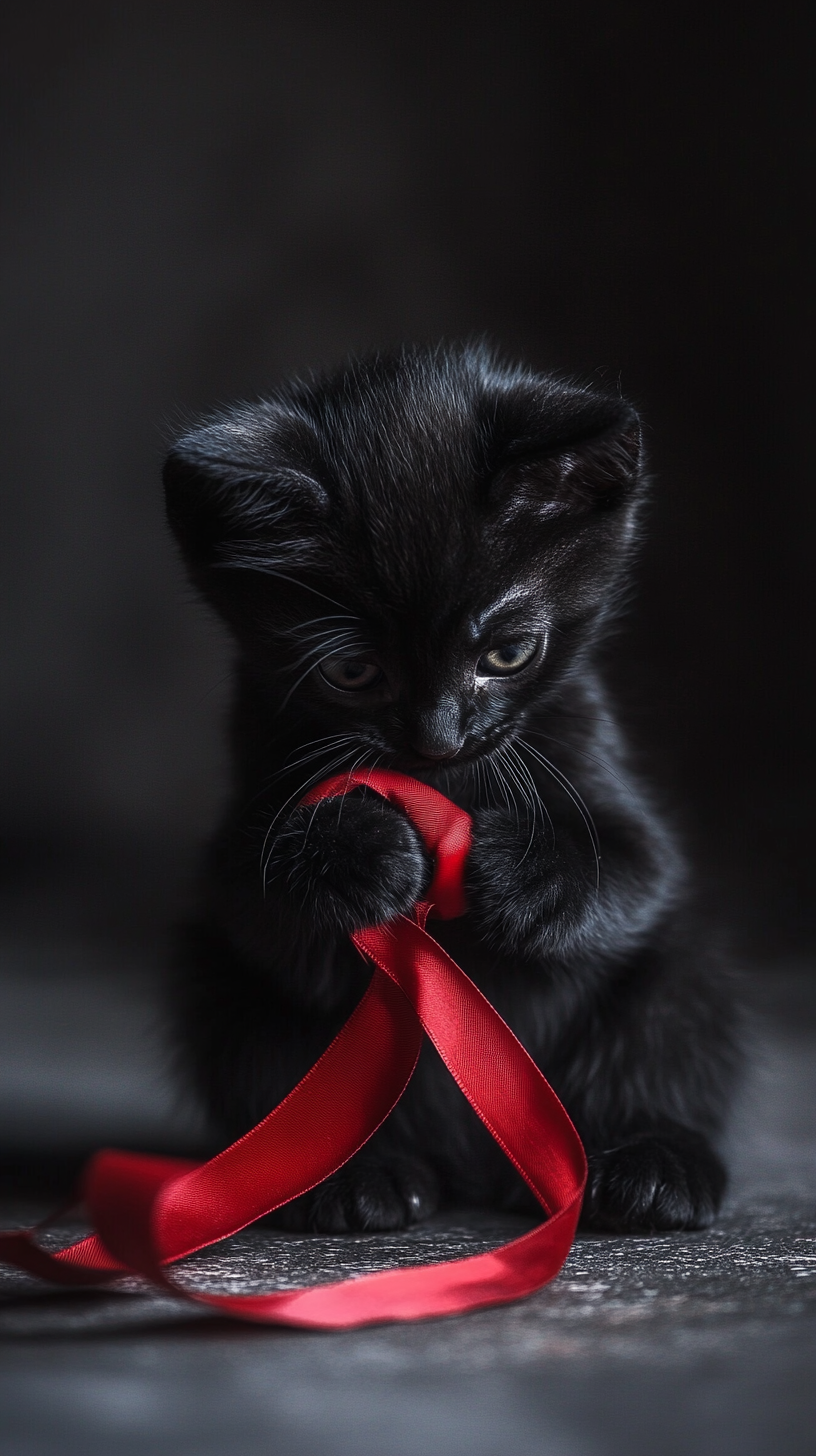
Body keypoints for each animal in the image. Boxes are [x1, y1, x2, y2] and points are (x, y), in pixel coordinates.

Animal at [166, 346, 740, 1234]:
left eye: (508, 653)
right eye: (352, 671)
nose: (438, 738)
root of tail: (483, 1169)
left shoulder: (608, 778)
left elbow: (633, 869)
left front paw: (524, 872)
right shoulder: (240, 827)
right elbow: (260, 905)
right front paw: (357, 855)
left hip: (689, 967)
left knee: (668, 1017)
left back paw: (652, 1164)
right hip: (215, 985)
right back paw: (358, 1177)